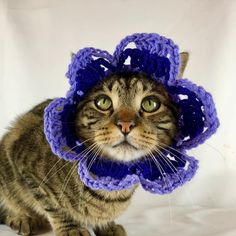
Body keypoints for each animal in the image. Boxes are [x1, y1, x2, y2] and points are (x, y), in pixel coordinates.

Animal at [0, 52, 189, 235]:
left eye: (150, 103)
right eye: (103, 102)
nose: (125, 124)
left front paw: (107, 226)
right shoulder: (25, 166)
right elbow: (54, 206)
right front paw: (71, 229)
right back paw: (23, 220)